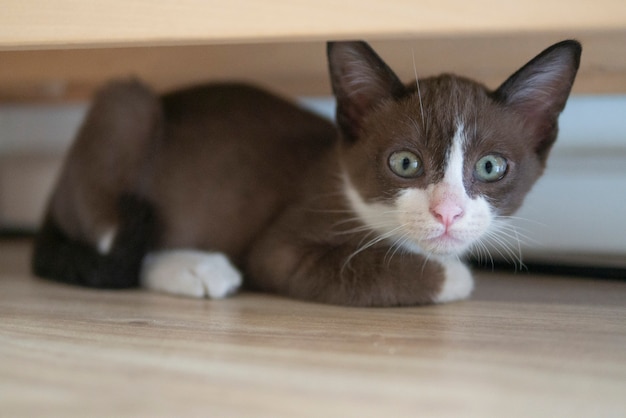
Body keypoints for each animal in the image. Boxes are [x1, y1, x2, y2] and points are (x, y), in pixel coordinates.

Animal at [33, 39, 580, 306]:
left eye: (490, 166)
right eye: (405, 163)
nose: (447, 213)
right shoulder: (282, 248)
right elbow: (425, 274)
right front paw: (452, 276)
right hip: (129, 108)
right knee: (114, 244)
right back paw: (197, 268)